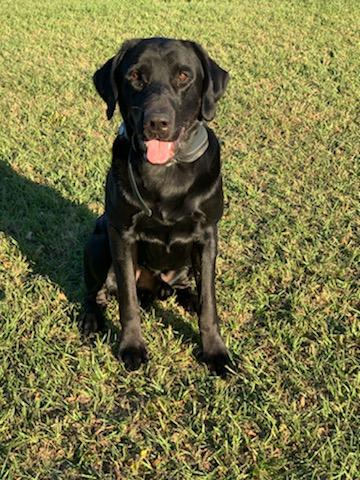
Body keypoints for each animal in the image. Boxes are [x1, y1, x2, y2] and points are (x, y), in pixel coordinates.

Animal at [81, 37, 229, 376]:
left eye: (184, 76)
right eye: (135, 76)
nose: (157, 123)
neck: (166, 174)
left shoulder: (207, 235)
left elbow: (209, 303)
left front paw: (215, 352)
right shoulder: (121, 234)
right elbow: (128, 301)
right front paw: (131, 347)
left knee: (187, 286)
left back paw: (186, 296)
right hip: (97, 241)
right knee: (95, 291)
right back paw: (92, 318)